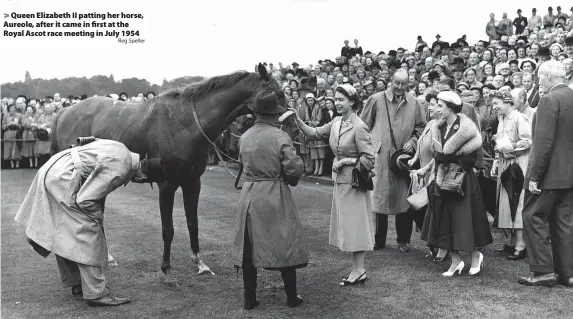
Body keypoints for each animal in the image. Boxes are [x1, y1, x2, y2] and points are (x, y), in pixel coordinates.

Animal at [52, 63, 284, 286]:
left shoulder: (192, 182)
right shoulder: (167, 184)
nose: (288, 125)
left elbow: (193, 223)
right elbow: (168, 230)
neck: (185, 123)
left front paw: (200, 264)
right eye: (279, 94)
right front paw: (167, 271)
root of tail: (65, 112)